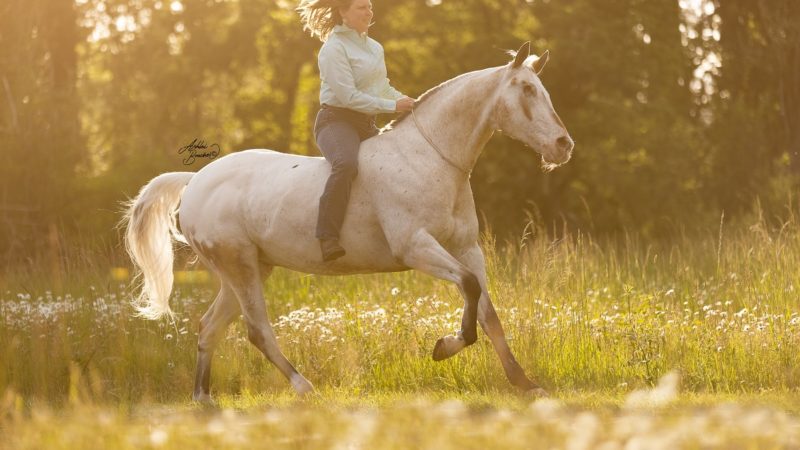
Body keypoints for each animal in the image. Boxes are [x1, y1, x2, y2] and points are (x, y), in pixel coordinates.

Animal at [123, 43, 568, 400]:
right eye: (527, 90)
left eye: (544, 90)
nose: (563, 145)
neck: (431, 157)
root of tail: (195, 181)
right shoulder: (417, 247)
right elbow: (471, 292)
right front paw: (444, 346)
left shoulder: (466, 249)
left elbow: (489, 313)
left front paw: (526, 384)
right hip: (240, 266)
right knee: (256, 329)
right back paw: (304, 387)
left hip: (248, 270)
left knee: (209, 327)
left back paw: (203, 398)